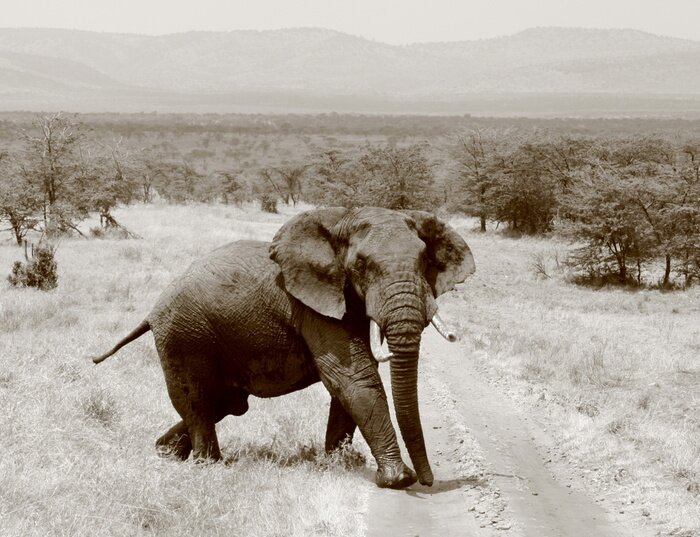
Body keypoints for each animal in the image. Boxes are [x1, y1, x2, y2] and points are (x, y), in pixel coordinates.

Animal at [92, 206, 475, 489]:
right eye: (362, 266)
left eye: (424, 262)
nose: (427, 481)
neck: (343, 219)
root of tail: (150, 312)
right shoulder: (310, 303)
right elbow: (353, 376)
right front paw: (396, 479)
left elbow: (348, 382)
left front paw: (337, 463)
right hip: (183, 336)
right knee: (199, 403)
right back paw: (209, 466)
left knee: (226, 404)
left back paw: (164, 453)